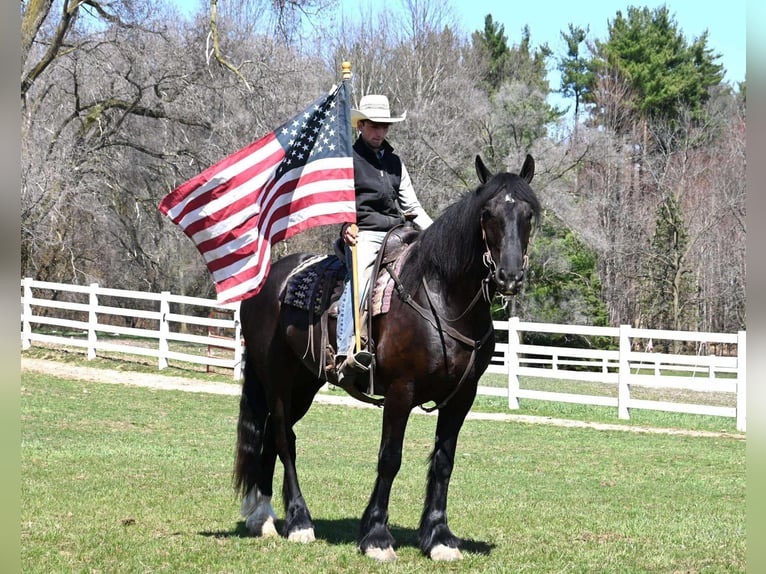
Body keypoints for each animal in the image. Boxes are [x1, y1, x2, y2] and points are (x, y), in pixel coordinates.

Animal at [233, 154, 540, 561]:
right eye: (487, 213)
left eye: (528, 214)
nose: (509, 276)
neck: (441, 298)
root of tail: (270, 278)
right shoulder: (400, 392)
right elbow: (389, 459)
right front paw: (377, 536)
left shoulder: (461, 398)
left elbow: (444, 462)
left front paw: (440, 538)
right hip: (278, 381)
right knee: (284, 439)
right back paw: (299, 522)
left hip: (304, 384)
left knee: (271, 436)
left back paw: (263, 517)